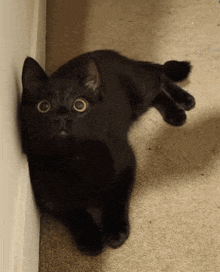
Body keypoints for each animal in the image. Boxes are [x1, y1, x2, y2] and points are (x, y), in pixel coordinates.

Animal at [19, 49, 195, 255]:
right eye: (44, 106)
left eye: (80, 105)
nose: (62, 117)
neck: (73, 158)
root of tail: (114, 54)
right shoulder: (45, 192)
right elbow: (73, 213)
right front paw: (90, 239)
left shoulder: (125, 163)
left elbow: (115, 199)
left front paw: (115, 231)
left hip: (138, 93)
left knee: (157, 79)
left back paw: (181, 105)